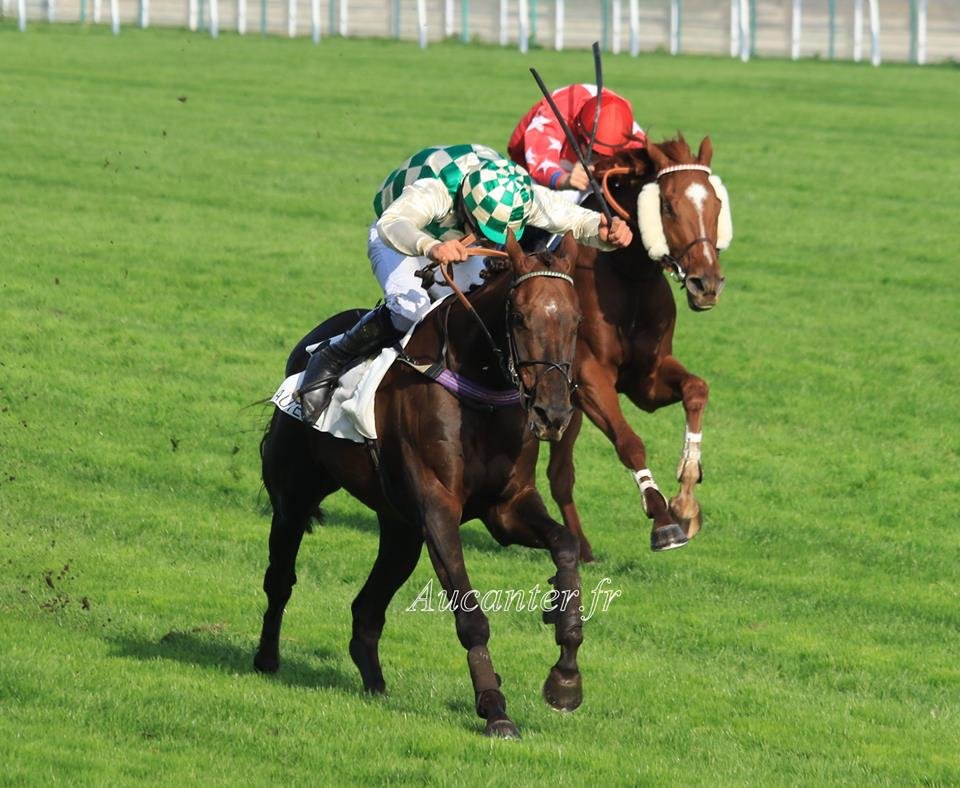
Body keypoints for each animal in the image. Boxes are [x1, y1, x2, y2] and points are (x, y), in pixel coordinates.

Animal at [254, 232, 587, 739]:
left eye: (576, 320)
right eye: (519, 317)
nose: (553, 414)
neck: (479, 389)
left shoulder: (507, 507)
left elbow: (566, 547)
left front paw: (565, 676)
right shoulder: (438, 509)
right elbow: (471, 617)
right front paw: (495, 709)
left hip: (400, 530)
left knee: (367, 608)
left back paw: (374, 683)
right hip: (295, 496)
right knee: (281, 578)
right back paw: (267, 658)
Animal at [545, 135, 732, 562]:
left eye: (716, 205)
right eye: (668, 207)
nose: (706, 284)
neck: (625, 276)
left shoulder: (645, 377)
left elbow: (696, 389)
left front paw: (686, 499)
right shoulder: (589, 376)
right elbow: (630, 443)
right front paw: (664, 522)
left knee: (559, 475)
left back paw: (579, 547)